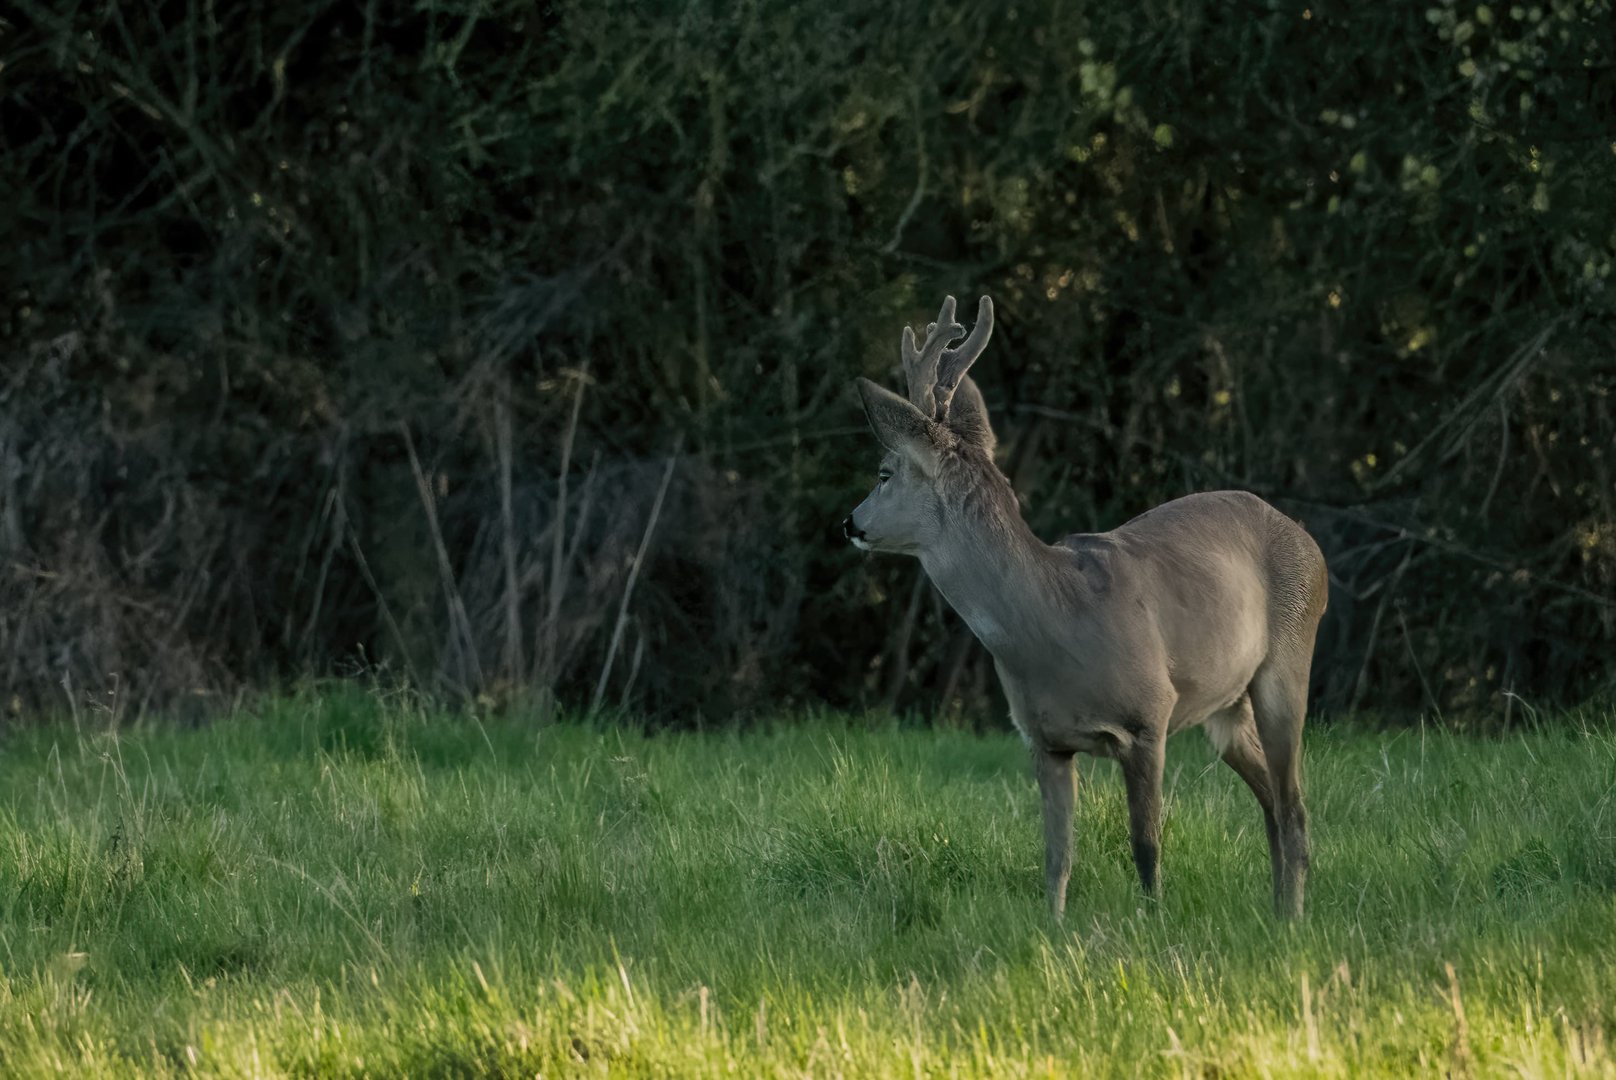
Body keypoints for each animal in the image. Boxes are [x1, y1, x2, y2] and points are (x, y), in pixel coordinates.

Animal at [846, 295, 1325, 918]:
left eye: (883, 473)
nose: (849, 522)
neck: (1055, 622)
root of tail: (1309, 542)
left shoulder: (1149, 717)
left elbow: (1146, 847)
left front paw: (1155, 923)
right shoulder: (1043, 740)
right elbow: (1057, 858)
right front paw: (1051, 929)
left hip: (1289, 658)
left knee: (1293, 805)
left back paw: (1292, 919)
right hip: (1224, 708)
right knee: (1272, 800)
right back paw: (1276, 911)